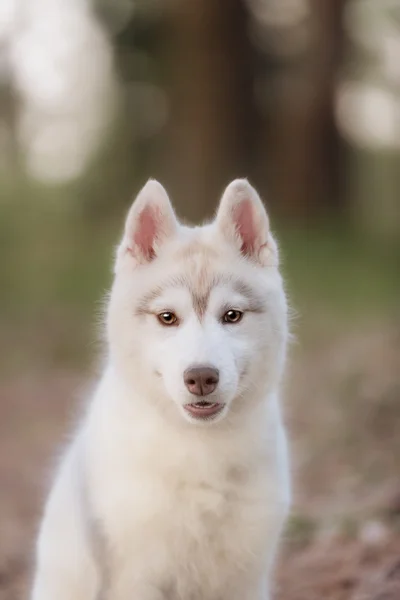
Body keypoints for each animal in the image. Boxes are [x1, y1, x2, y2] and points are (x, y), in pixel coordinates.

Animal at [30, 178, 290, 600]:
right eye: (167, 317)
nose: (201, 377)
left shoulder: (245, 578)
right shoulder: (134, 576)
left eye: (232, 316)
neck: (200, 449)